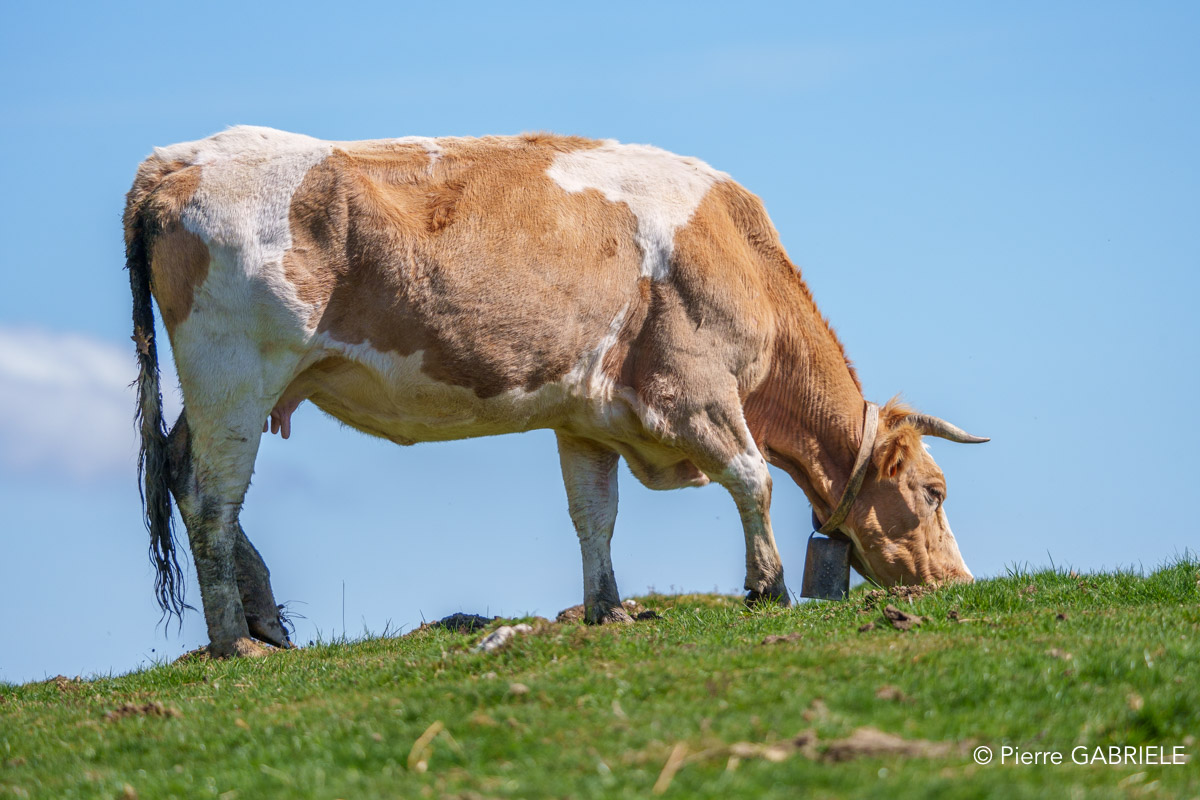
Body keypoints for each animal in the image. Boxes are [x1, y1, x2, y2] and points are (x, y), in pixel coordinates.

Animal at [125, 126, 987, 657]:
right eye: (934, 490)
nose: (959, 583)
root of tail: (181, 157)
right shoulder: (698, 388)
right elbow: (753, 478)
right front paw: (767, 586)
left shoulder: (588, 419)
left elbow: (593, 514)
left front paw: (609, 607)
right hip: (235, 375)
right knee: (212, 498)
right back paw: (234, 639)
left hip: (221, 390)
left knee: (180, 472)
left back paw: (266, 620)